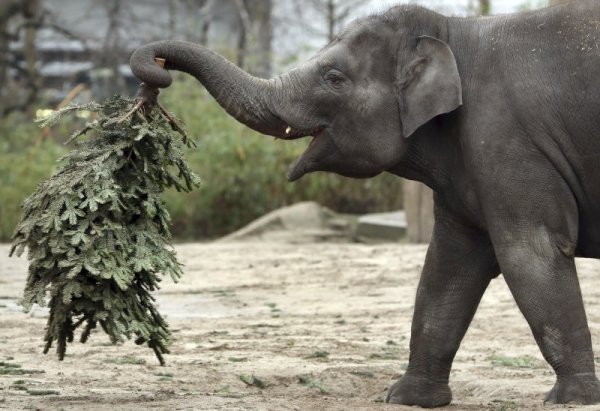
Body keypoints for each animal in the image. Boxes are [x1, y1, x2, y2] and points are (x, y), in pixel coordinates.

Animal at [129, 0, 600, 408]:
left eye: (334, 77)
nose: (157, 73)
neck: (452, 31)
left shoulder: (509, 144)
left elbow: (529, 254)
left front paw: (571, 399)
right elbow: (448, 266)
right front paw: (406, 398)